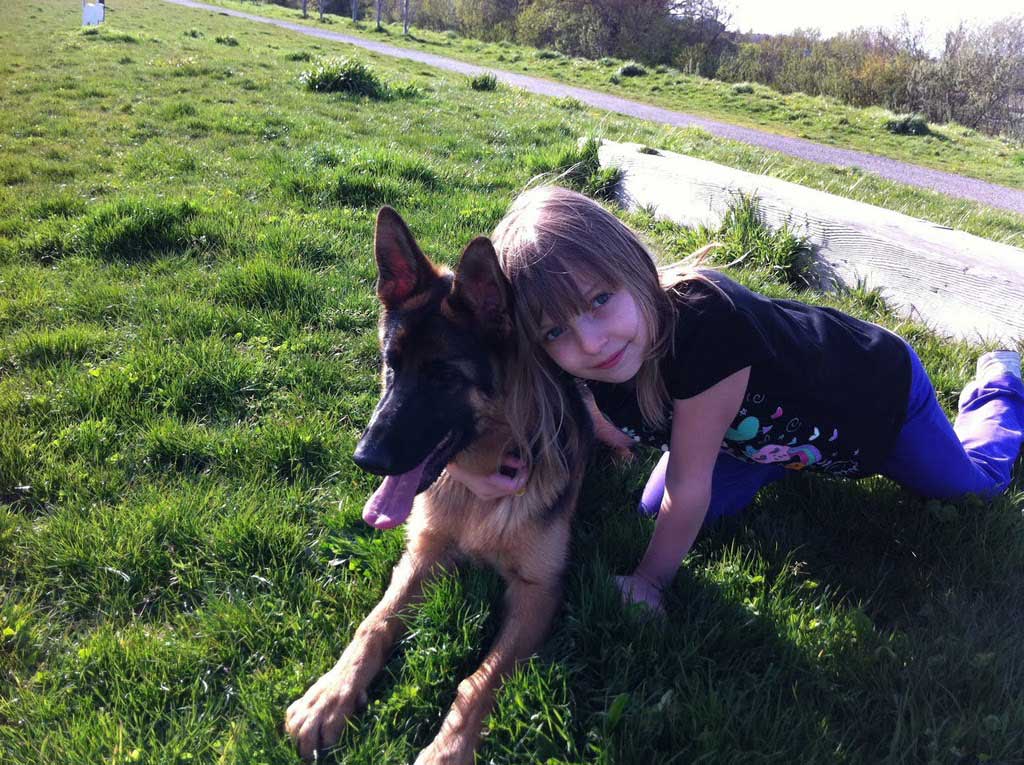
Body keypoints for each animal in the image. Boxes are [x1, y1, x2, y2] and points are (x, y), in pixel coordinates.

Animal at [284, 207, 626, 765]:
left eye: (444, 376)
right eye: (391, 365)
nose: (365, 458)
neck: (479, 485)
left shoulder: (538, 591)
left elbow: (481, 680)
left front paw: (447, 749)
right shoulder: (423, 554)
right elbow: (374, 622)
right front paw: (329, 696)